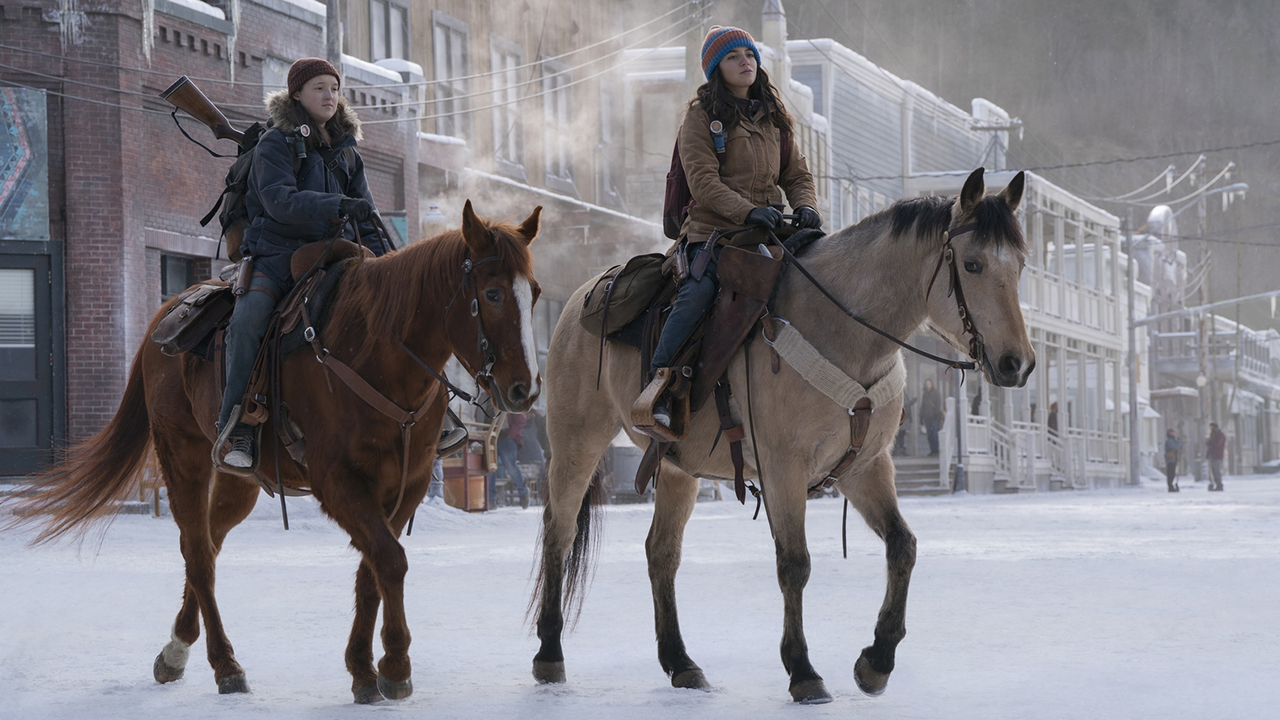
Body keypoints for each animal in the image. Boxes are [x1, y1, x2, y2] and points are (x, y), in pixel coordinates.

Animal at [6, 199, 545, 702]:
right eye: (492, 293)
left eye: (535, 293)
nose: (525, 389)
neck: (376, 354)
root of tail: (164, 315)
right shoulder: (338, 481)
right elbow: (389, 560)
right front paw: (393, 666)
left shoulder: (405, 484)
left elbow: (372, 567)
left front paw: (362, 668)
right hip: (182, 456)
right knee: (197, 552)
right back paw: (225, 665)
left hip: (238, 481)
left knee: (207, 545)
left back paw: (177, 648)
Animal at [535, 169, 1034, 702]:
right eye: (973, 263)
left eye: (1021, 265)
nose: (1017, 363)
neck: (843, 331)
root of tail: (582, 299)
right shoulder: (783, 470)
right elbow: (795, 563)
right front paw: (803, 670)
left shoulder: (866, 467)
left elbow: (903, 546)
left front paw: (877, 659)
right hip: (576, 443)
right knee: (559, 533)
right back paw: (549, 653)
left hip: (675, 467)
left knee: (661, 553)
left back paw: (681, 662)